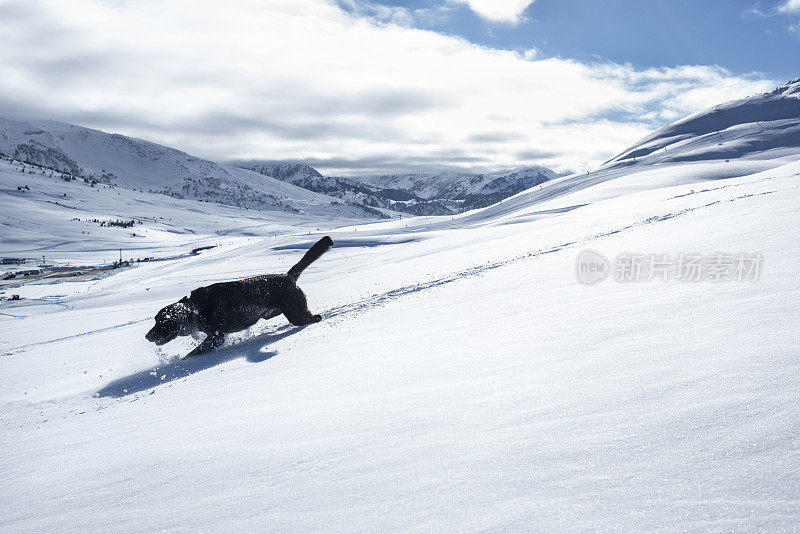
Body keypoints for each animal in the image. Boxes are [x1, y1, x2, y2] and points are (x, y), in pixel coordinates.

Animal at [145, 237, 332, 358]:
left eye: (162, 322)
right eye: (155, 321)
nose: (147, 336)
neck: (197, 309)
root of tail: (288, 276)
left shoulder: (216, 337)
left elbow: (192, 354)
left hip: (295, 313)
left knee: (312, 317)